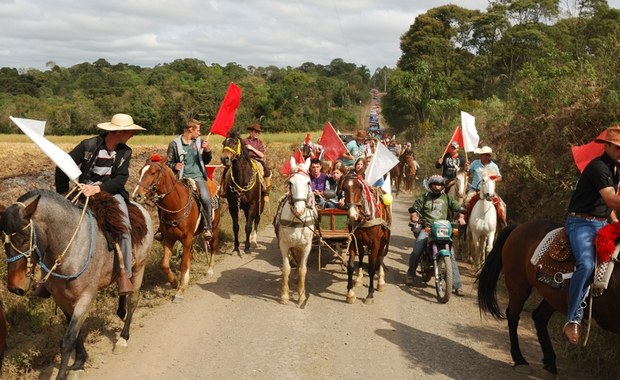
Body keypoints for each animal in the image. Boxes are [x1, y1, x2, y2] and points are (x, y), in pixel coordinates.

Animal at [0, 190, 154, 380]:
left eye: (23, 239)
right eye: (3, 241)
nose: (15, 287)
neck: (70, 248)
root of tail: (141, 208)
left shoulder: (85, 298)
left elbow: (67, 340)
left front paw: (64, 374)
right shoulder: (61, 298)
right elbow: (75, 331)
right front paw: (80, 360)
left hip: (139, 268)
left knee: (133, 300)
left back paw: (123, 338)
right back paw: (121, 312)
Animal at [132, 155, 222, 302]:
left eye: (152, 173)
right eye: (140, 172)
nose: (136, 195)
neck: (176, 206)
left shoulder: (187, 238)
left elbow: (183, 264)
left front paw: (180, 291)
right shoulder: (169, 238)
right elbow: (164, 264)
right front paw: (174, 282)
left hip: (214, 228)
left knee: (213, 246)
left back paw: (209, 269)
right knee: (190, 254)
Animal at [274, 157, 318, 306]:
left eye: (308, 182)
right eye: (290, 182)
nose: (300, 209)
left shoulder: (306, 246)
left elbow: (303, 269)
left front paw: (301, 295)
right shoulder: (284, 244)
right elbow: (286, 268)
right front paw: (284, 295)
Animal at [342, 174, 390, 304]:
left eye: (359, 187)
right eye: (344, 188)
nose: (352, 214)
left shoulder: (375, 243)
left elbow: (372, 268)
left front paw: (370, 294)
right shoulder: (353, 240)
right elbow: (350, 266)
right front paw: (350, 293)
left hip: (384, 240)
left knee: (380, 256)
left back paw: (381, 281)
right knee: (362, 255)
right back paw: (359, 279)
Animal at [478, 221, 620, 376]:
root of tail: (518, 227)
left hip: (554, 297)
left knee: (539, 317)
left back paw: (550, 362)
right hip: (519, 286)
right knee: (513, 316)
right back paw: (520, 360)